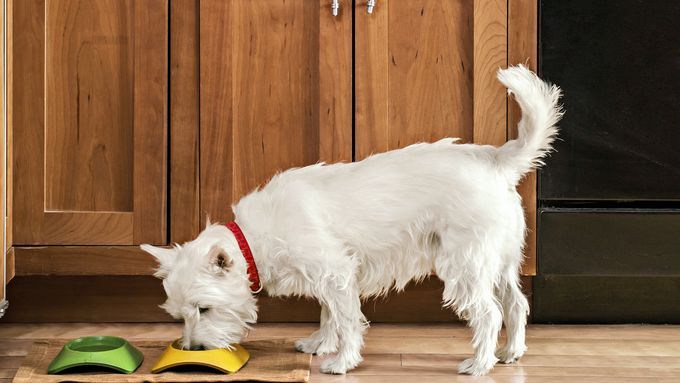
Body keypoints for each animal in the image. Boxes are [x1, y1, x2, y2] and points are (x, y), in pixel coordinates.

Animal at [141, 65, 560, 376]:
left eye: (205, 309)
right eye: (180, 314)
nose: (192, 349)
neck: (256, 238)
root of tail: (498, 162)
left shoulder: (335, 271)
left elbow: (346, 320)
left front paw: (341, 361)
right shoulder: (330, 277)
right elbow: (328, 314)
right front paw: (319, 344)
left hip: (465, 264)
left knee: (489, 313)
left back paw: (479, 363)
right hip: (499, 261)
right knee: (516, 304)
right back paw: (510, 353)